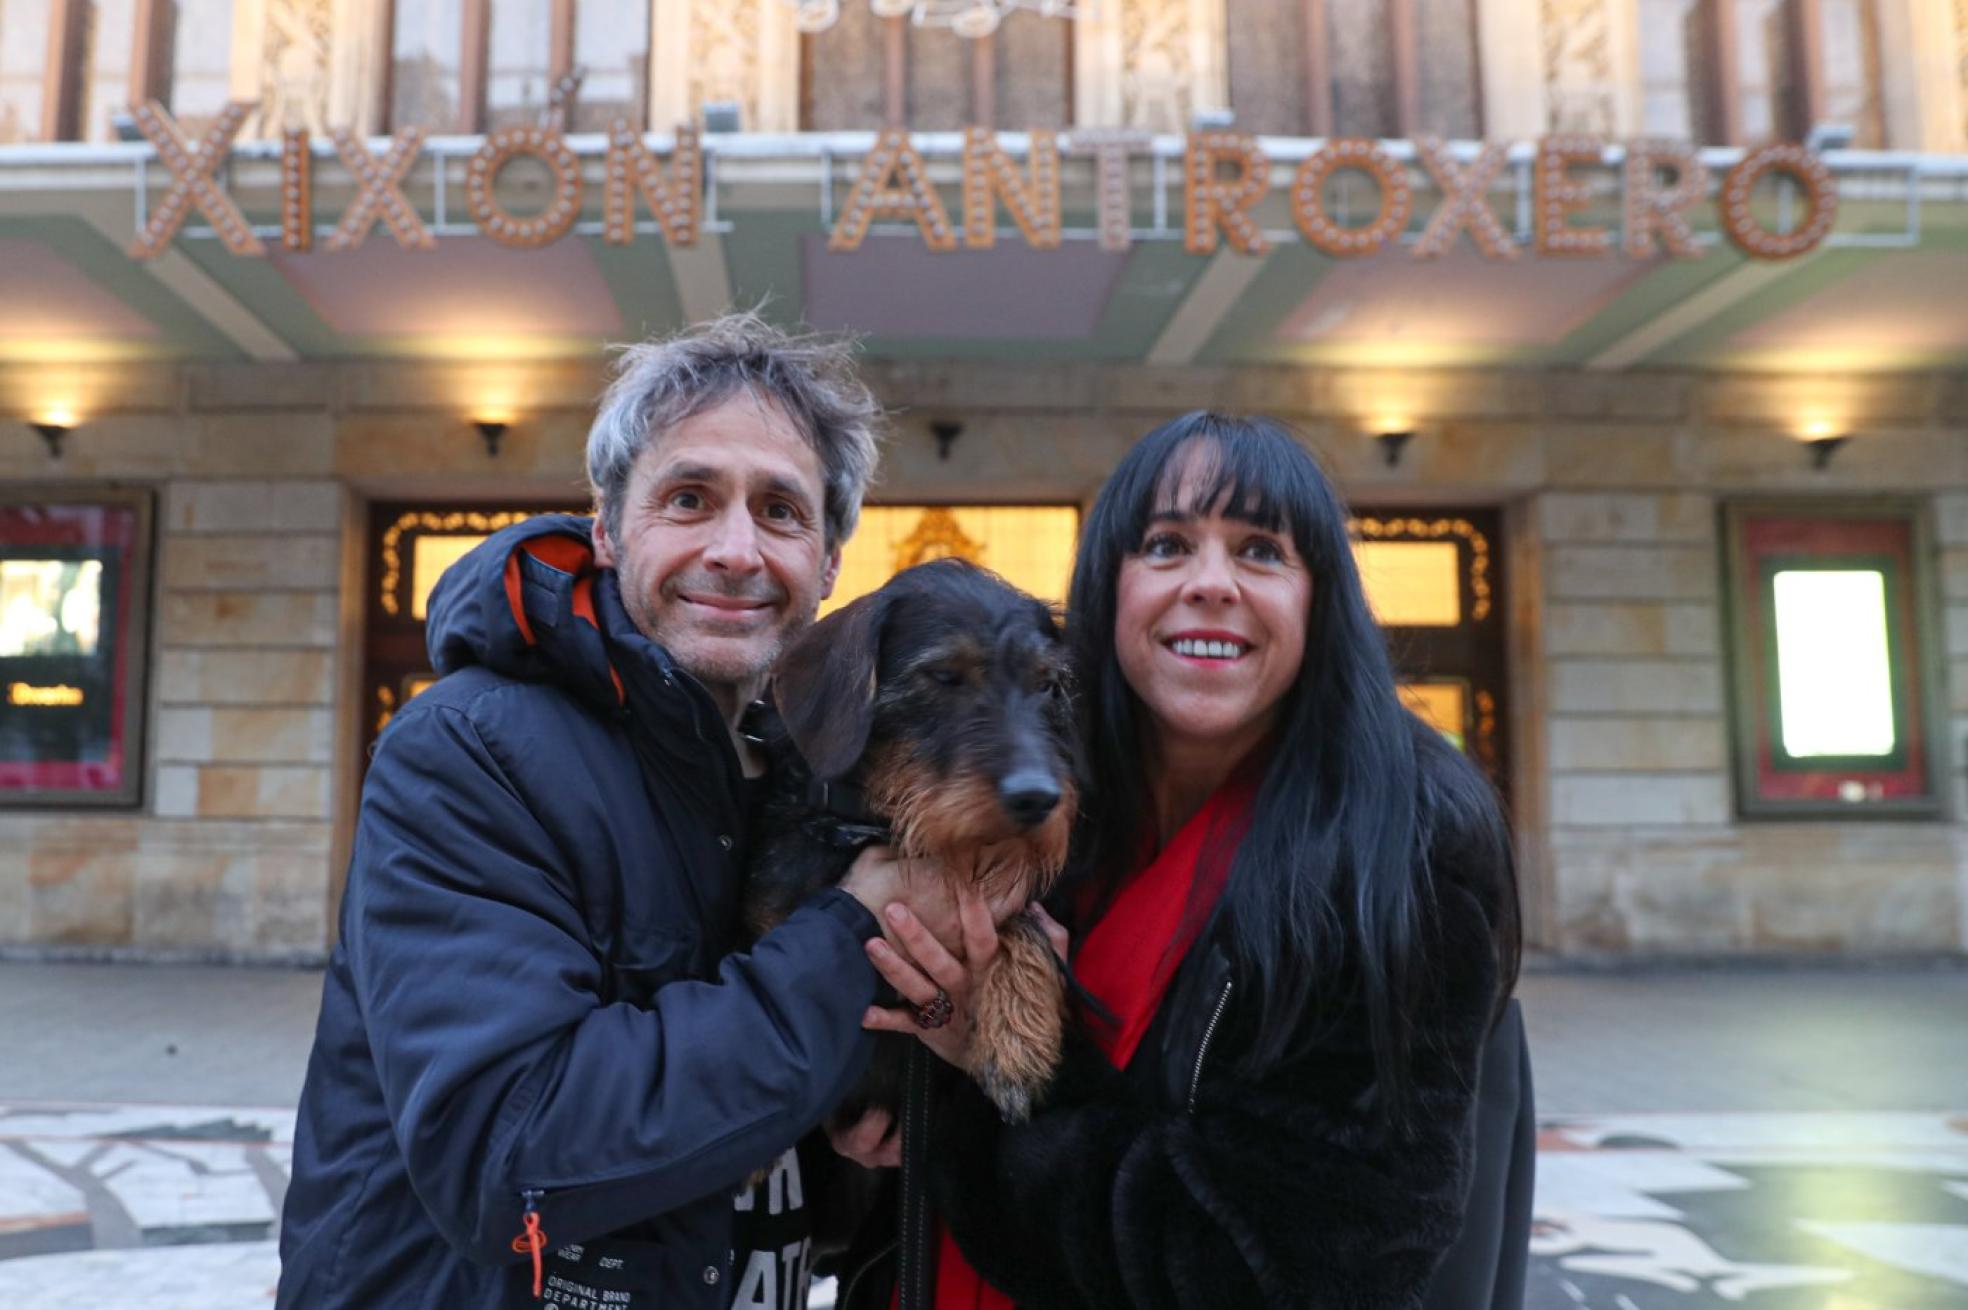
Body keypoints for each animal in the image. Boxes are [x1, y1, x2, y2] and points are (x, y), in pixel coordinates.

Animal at [743, 554, 1078, 1117]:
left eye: (1046, 684)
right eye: (943, 674)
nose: (1036, 798)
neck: (877, 826)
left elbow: (1021, 919)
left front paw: (1018, 1047)